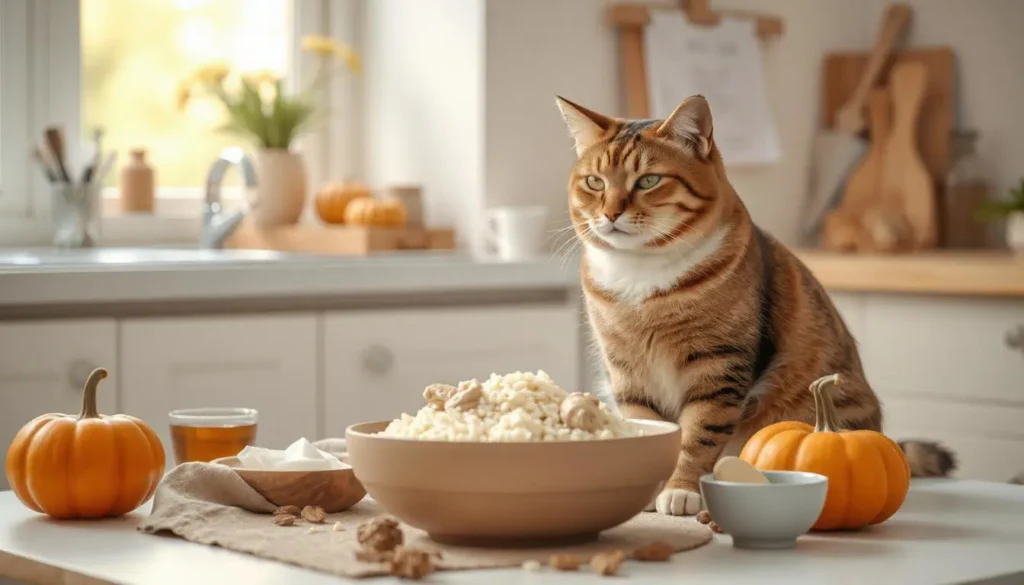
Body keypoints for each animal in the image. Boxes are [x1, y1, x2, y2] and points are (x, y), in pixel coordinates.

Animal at [557, 93, 954, 514]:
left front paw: (680, 488)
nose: (610, 213)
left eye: (649, 180)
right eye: (594, 182)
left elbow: (698, 434)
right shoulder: (626, 369)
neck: (641, 275)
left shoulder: (718, 364)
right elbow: (647, 422)